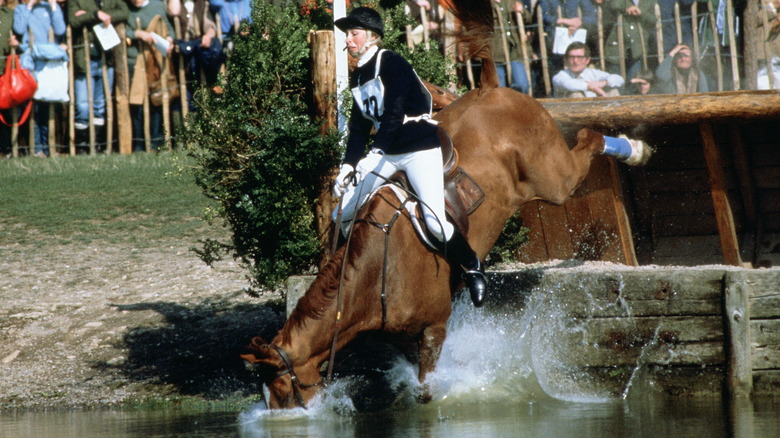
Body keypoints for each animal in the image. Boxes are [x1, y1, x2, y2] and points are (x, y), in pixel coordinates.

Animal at [242, 0, 644, 410]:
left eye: (282, 389)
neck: (377, 274)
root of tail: (490, 88)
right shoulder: (403, 339)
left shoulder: (433, 329)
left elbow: (426, 392)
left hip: (554, 179)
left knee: (589, 138)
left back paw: (633, 149)